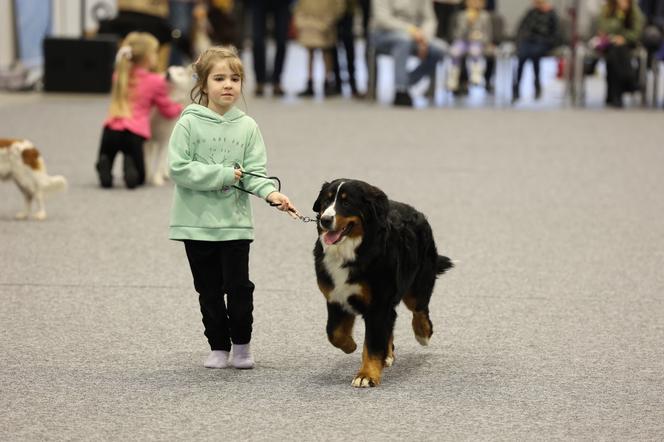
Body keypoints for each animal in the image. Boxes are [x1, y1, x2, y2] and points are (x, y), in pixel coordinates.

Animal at [314, 179, 454, 386]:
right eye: (326, 200)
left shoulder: (378, 303)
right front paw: (350, 345)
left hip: (417, 283)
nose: (325, 220)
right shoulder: (336, 298)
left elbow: (372, 343)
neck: (351, 251)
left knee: (419, 309)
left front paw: (366, 375)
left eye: (347, 202)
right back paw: (387, 354)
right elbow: (335, 333)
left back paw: (422, 333)